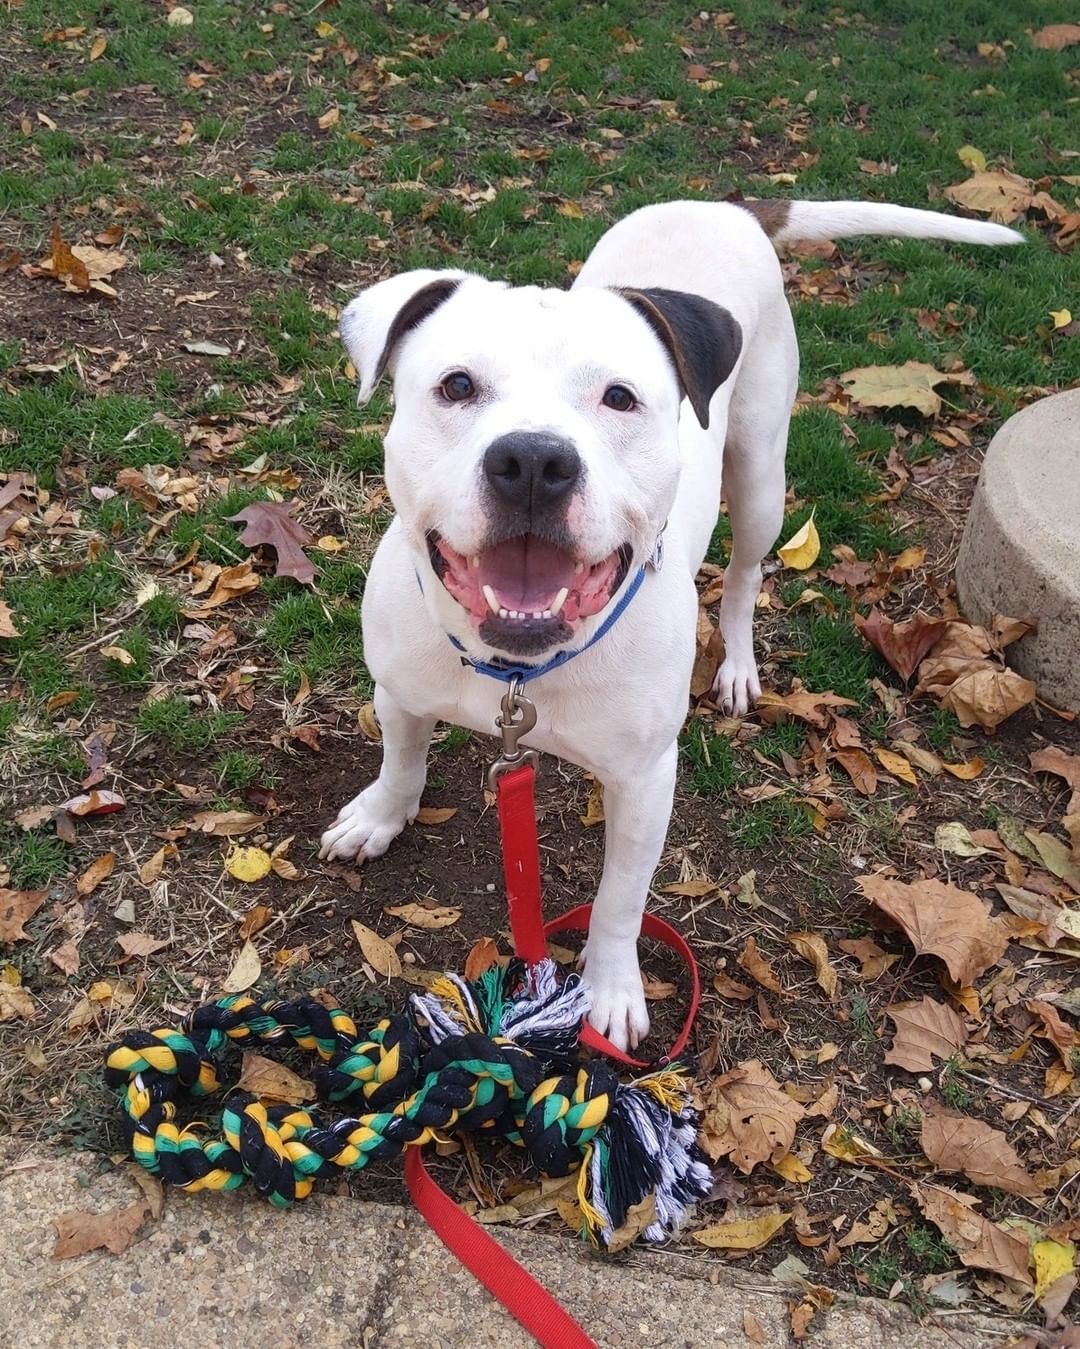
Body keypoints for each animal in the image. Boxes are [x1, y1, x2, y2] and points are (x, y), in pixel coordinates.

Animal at [318, 199, 1019, 1046]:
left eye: (620, 398)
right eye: (455, 385)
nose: (532, 461)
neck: (520, 669)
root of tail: (727, 203)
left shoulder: (646, 778)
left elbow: (621, 896)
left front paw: (610, 988)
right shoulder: (400, 689)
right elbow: (401, 761)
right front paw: (379, 817)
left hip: (761, 472)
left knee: (746, 574)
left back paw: (738, 666)